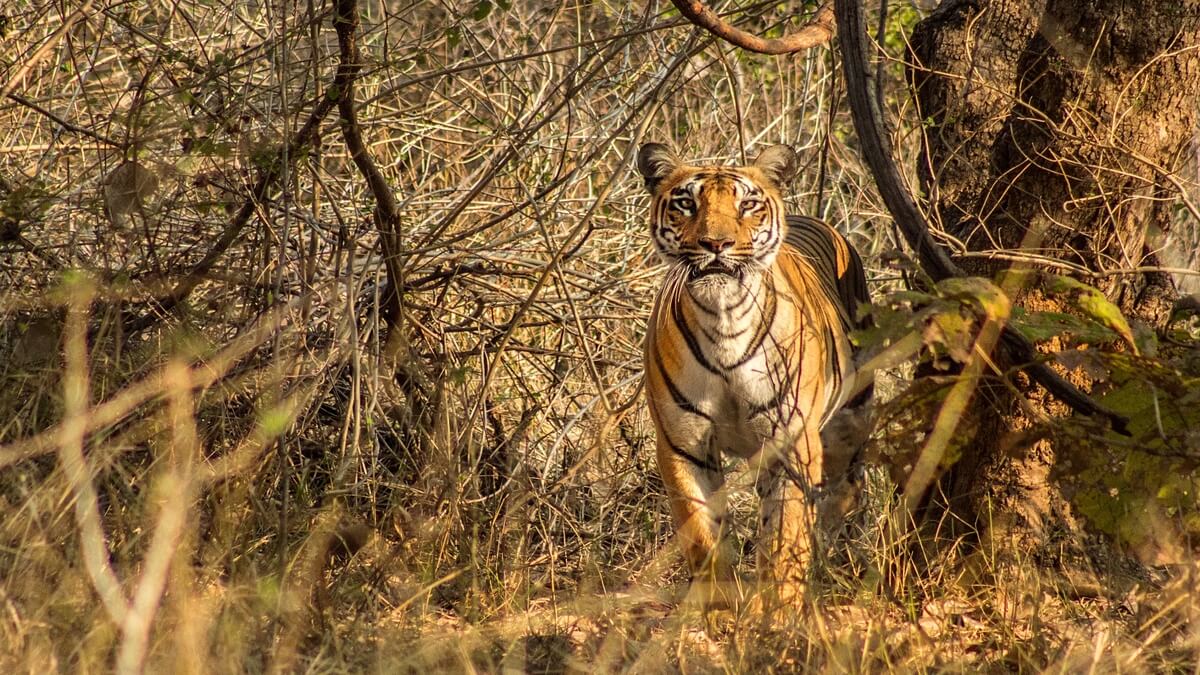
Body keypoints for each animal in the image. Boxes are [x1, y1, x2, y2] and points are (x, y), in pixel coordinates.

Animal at [636, 142, 871, 609]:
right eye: (686, 203)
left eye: (747, 204)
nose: (716, 243)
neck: (722, 317)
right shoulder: (684, 445)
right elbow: (703, 536)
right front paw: (719, 608)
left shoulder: (792, 442)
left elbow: (785, 537)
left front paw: (779, 613)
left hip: (849, 422)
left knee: (844, 491)